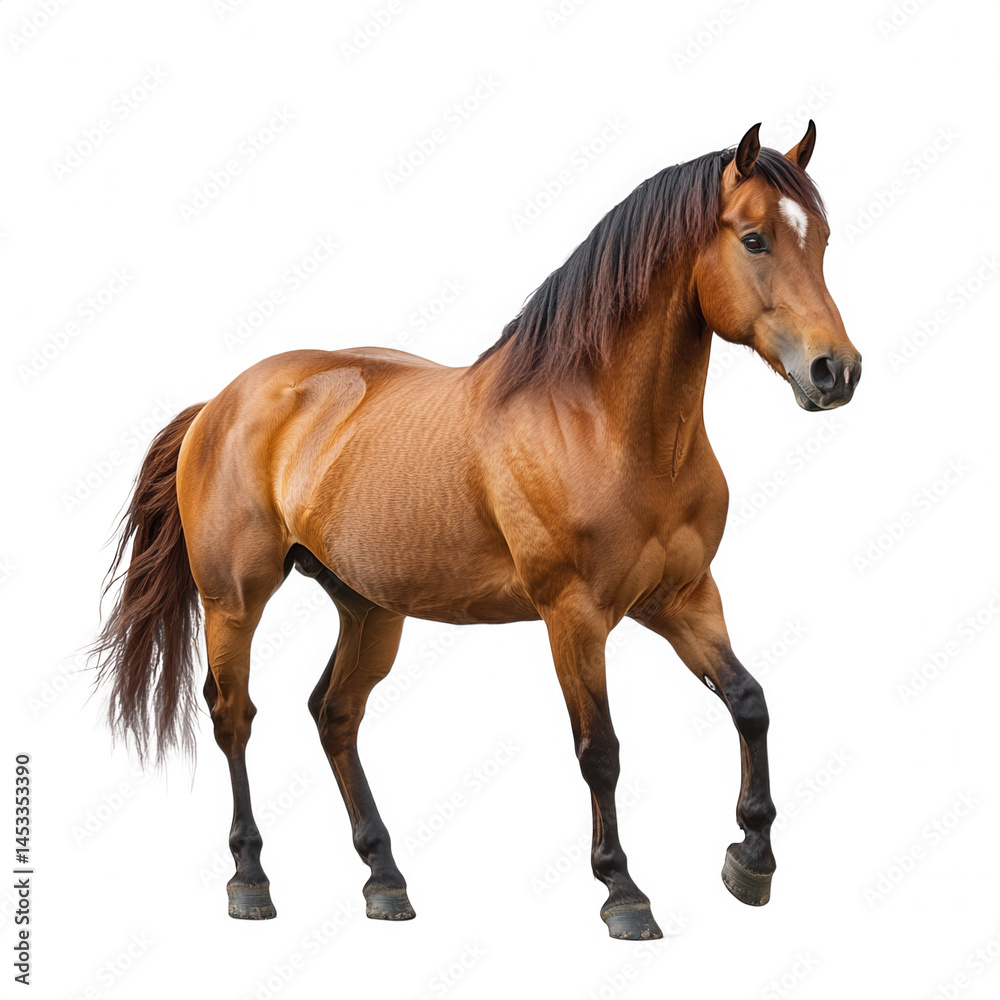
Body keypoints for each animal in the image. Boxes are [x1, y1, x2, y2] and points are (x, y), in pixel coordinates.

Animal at [93, 121, 861, 940]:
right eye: (754, 239)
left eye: (822, 238)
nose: (835, 371)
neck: (603, 424)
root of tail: (219, 403)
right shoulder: (575, 616)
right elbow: (600, 750)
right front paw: (623, 892)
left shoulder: (683, 598)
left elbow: (750, 702)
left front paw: (750, 860)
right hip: (234, 601)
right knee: (233, 717)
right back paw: (250, 879)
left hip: (369, 608)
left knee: (334, 713)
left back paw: (385, 879)